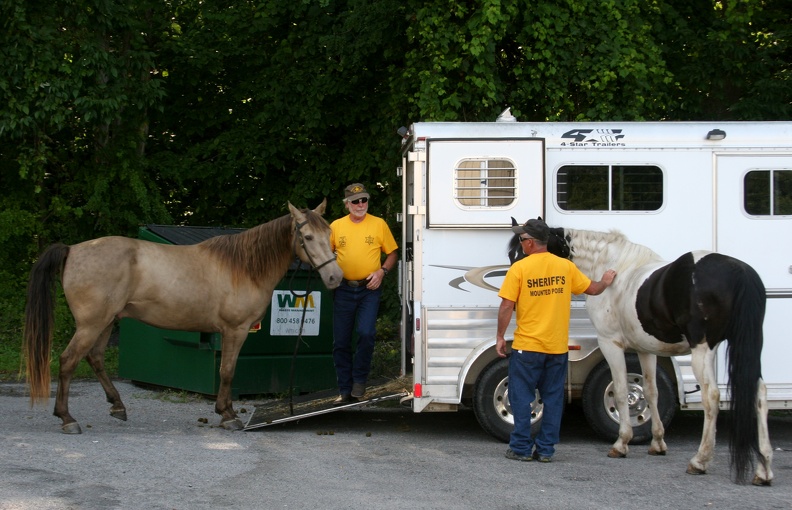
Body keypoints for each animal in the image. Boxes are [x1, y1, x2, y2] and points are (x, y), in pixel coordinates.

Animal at [24, 201, 340, 432]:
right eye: (307, 237)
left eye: (329, 236)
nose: (335, 277)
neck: (244, 267)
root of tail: (73, 249)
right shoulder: (235, 330)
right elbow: (227, 371)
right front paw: (227, 415)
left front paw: (225, 411)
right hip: (92, 324)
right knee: (68, 361)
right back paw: (67, 418)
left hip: (105, 322)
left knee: (95, 358)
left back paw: (117, 406)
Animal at [508, 223, 772, 486]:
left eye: (520, 253)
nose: (512, 288)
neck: (610, 264)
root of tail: (739, 272)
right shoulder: (646, 348)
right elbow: (650, 391)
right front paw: (657, 443)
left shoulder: (610, 343)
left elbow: (621, 391)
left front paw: (621, 443)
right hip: (749, 345)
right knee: (759, 393)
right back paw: (763, 469)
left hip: (703, 350)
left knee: (712, 397)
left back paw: (700, 460)